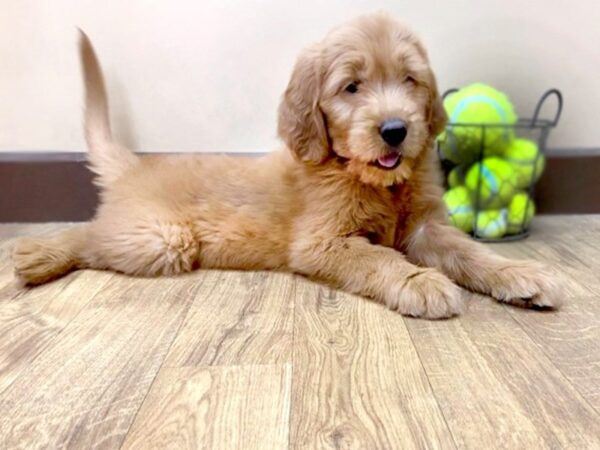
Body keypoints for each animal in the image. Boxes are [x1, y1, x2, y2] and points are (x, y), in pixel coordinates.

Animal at [11, 14, 564, 320]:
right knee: (87, 235)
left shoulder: (426, 226)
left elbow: (469, 251)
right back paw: (37, 255)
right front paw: (420, 282)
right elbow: (380, 258)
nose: (395, 130)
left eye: (410, 80)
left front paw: (520, 273)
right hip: (161, 239)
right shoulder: (323, 241)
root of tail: (134, 167)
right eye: (351, 87)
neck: (371, 179)